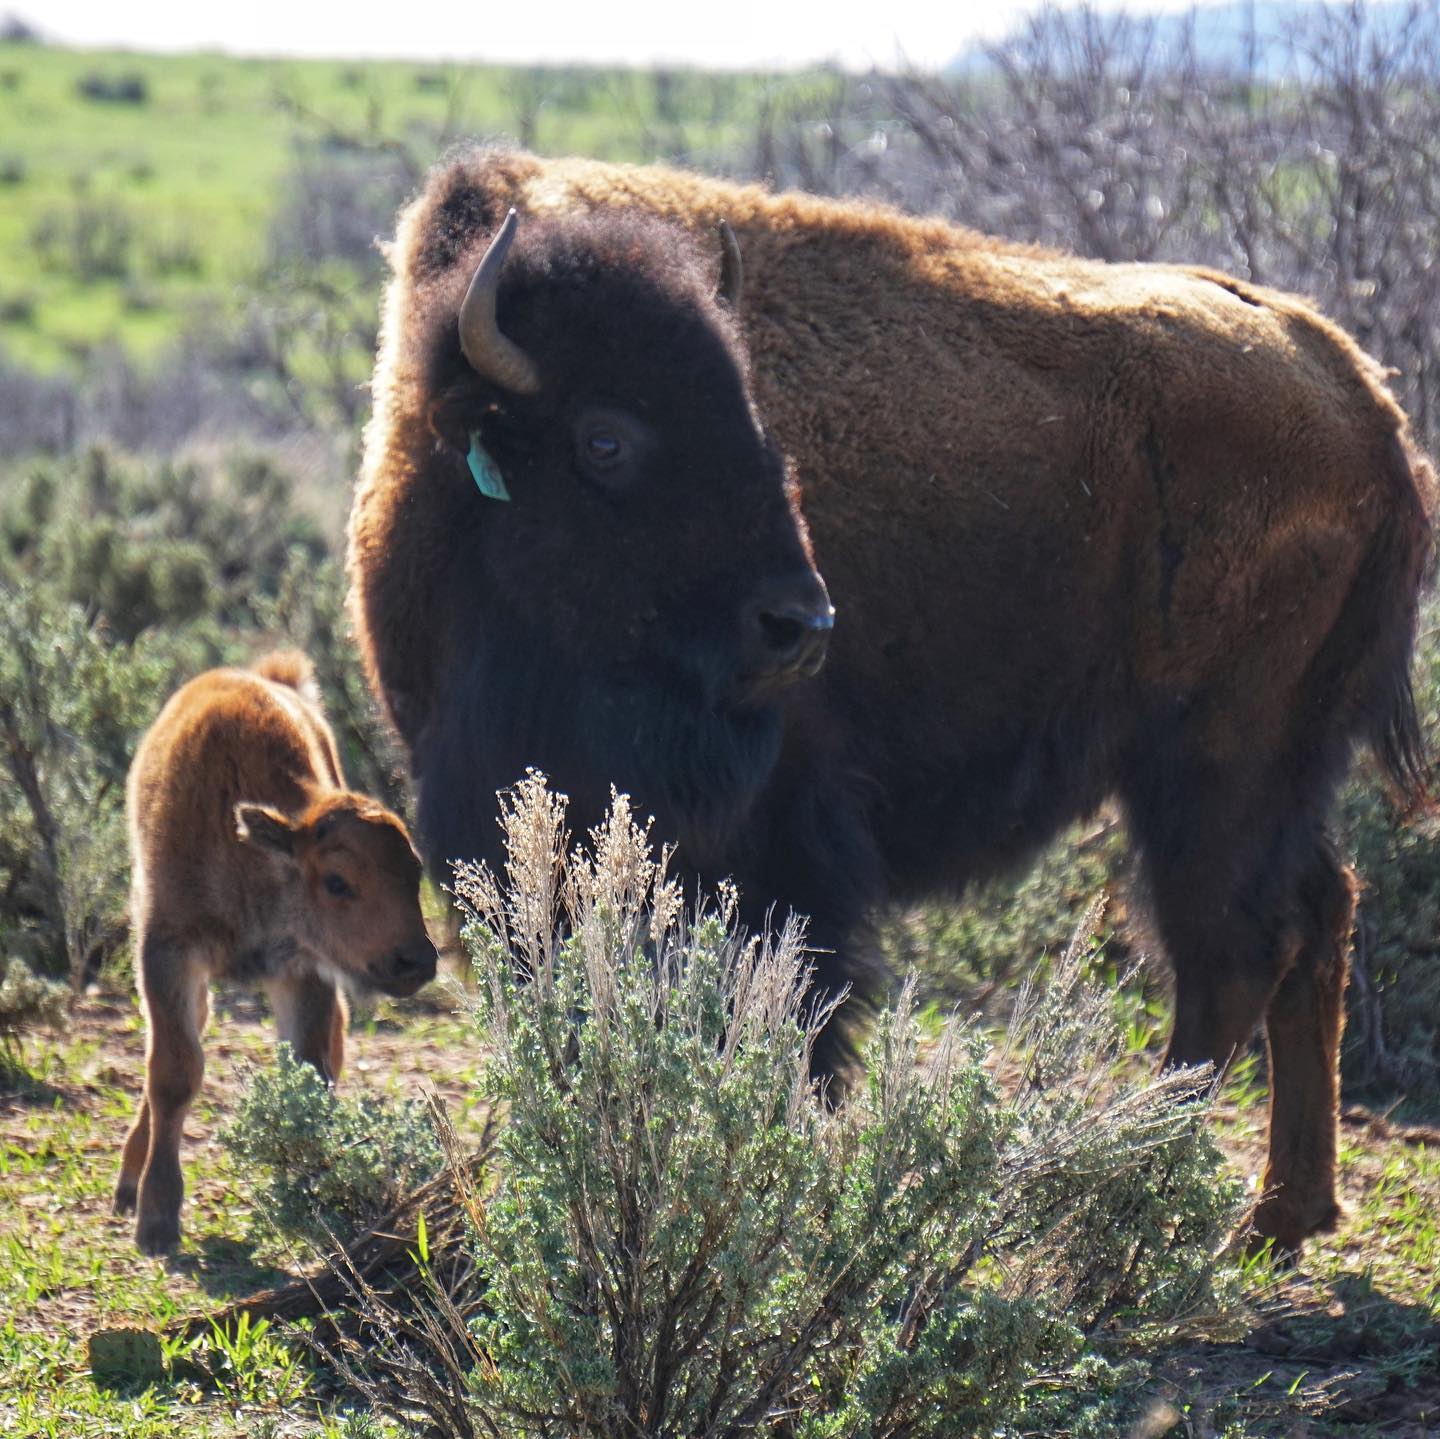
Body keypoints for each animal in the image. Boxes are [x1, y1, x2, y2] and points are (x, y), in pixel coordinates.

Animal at [348, 151, 1433, 1252]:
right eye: (604, 439)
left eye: (753, 417)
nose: (800, 622)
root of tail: (1363, 400)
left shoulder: (785, 839)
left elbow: (791, 1012)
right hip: (1280, 770)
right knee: (1317, 917)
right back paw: (1282, 1211)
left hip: (1214, 766)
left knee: (1233, 951)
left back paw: (1146, 1183)